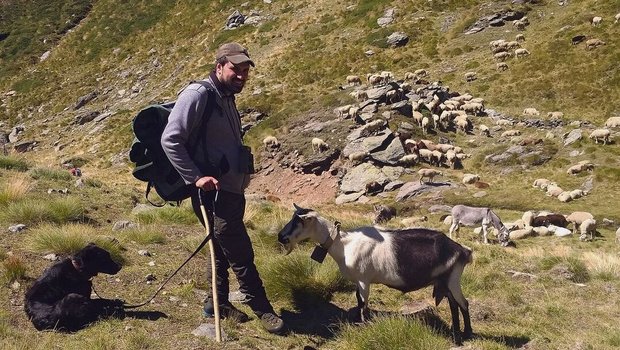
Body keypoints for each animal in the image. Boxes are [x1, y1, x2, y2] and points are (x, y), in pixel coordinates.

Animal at [278, 204, 472, 344]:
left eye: (299, 222)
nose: (281, 237)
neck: (344, 244)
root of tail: (462, 251)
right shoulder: (358, 280)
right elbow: (358, 299)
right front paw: (357, 320)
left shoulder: (364, 279)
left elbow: (364, 302)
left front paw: (364, 325)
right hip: (446, 282)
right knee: (454, 305)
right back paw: (456, 333)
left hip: (453, 280)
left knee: (463, 303)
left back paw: (467, 334)